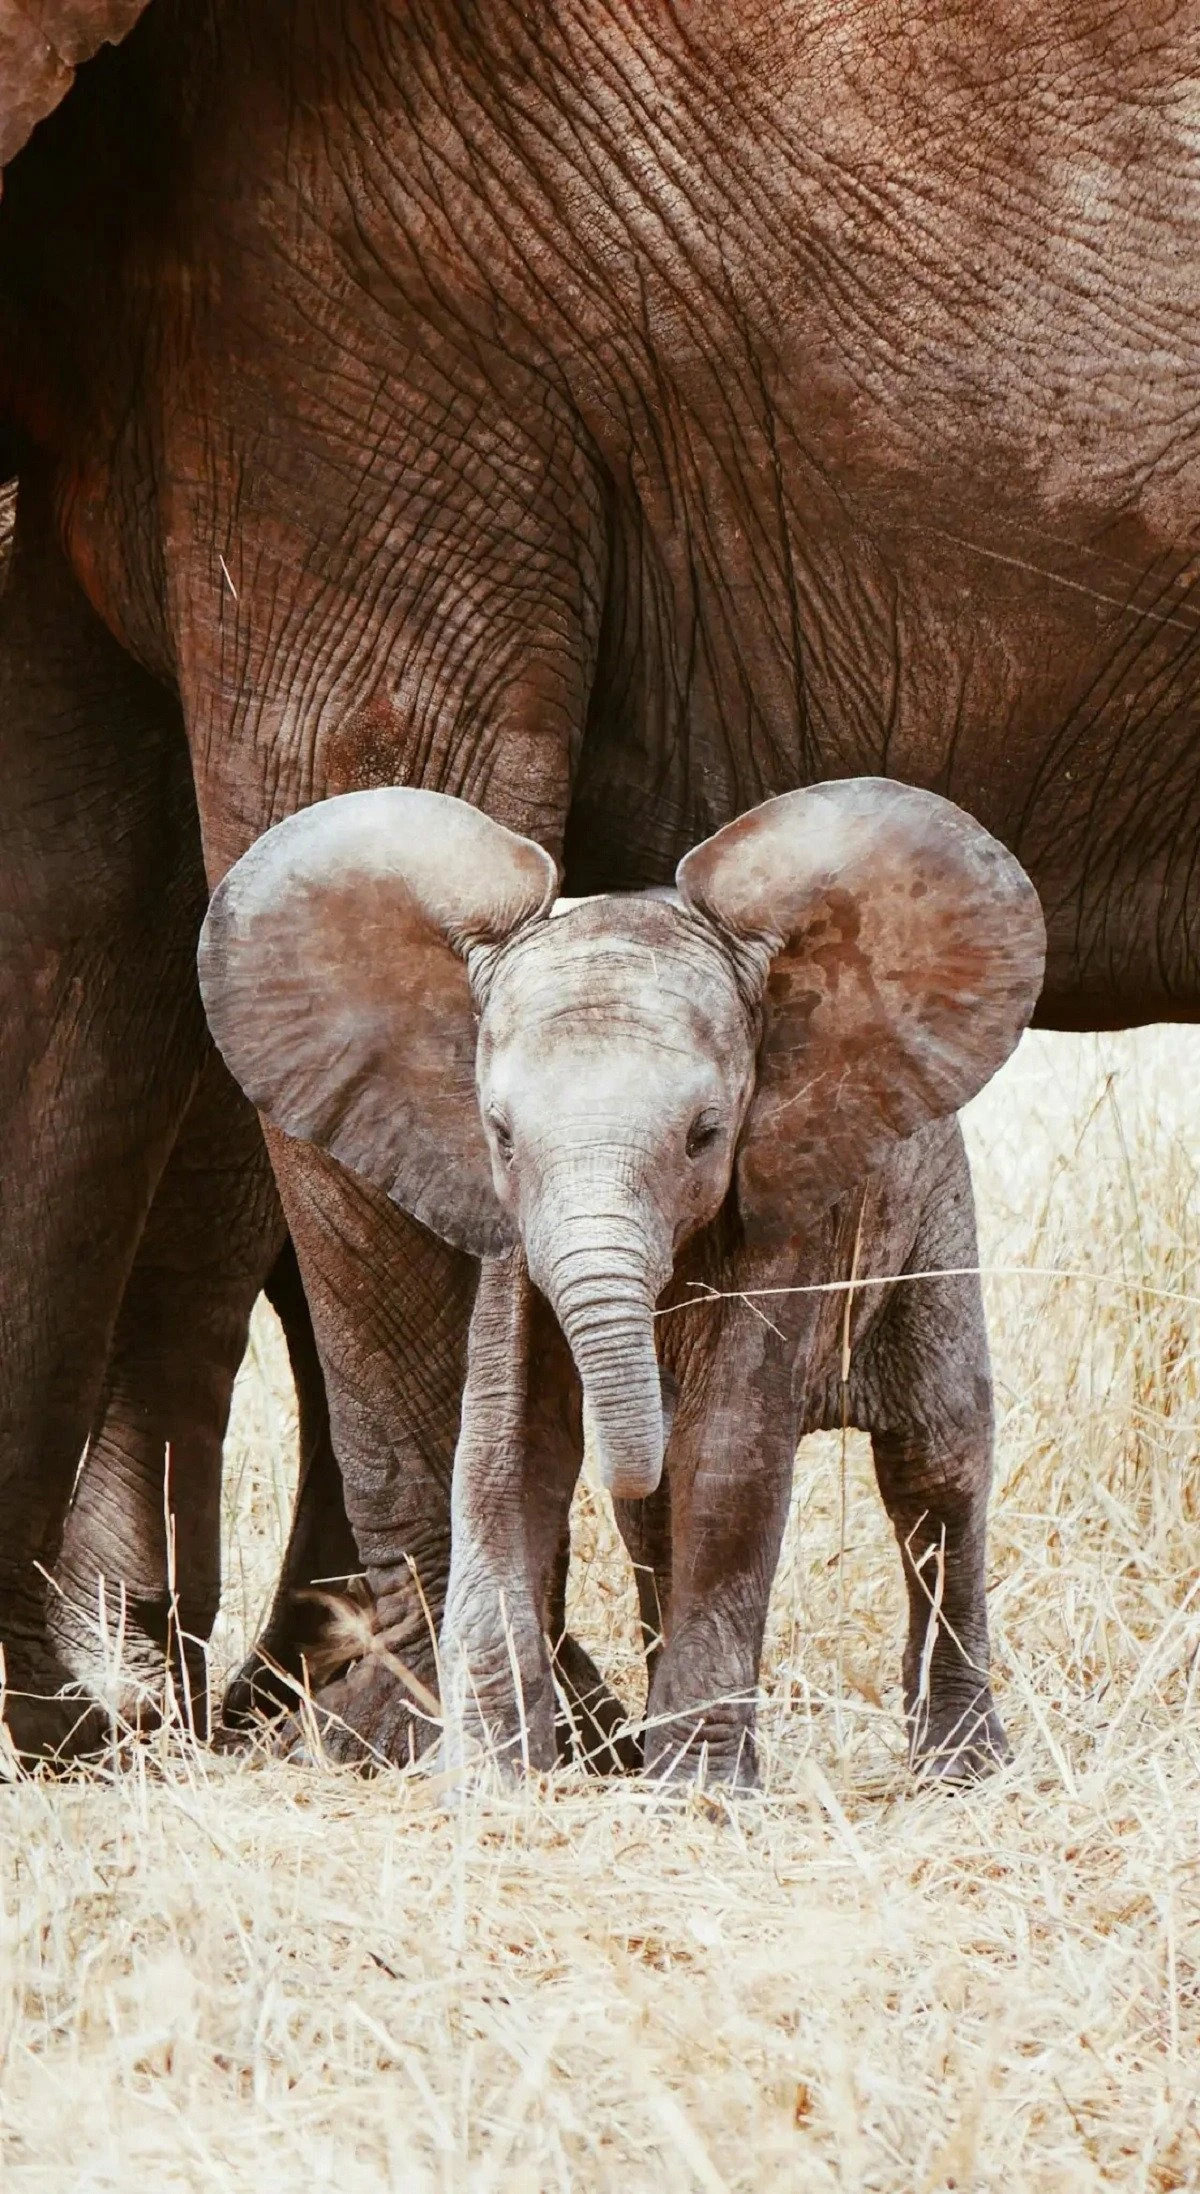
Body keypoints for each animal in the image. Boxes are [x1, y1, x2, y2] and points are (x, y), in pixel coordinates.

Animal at [198, 778, 1046, 1784]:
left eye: (706, 1135)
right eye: (501, 1135)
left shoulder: (786, 1209)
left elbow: (729, 1455)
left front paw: (699, 1794)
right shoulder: (514, 1246)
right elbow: (504, 1451)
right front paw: (497, 1784)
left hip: (932, 1214)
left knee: (937, 1463)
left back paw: (960, 1769)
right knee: (658, 1529)